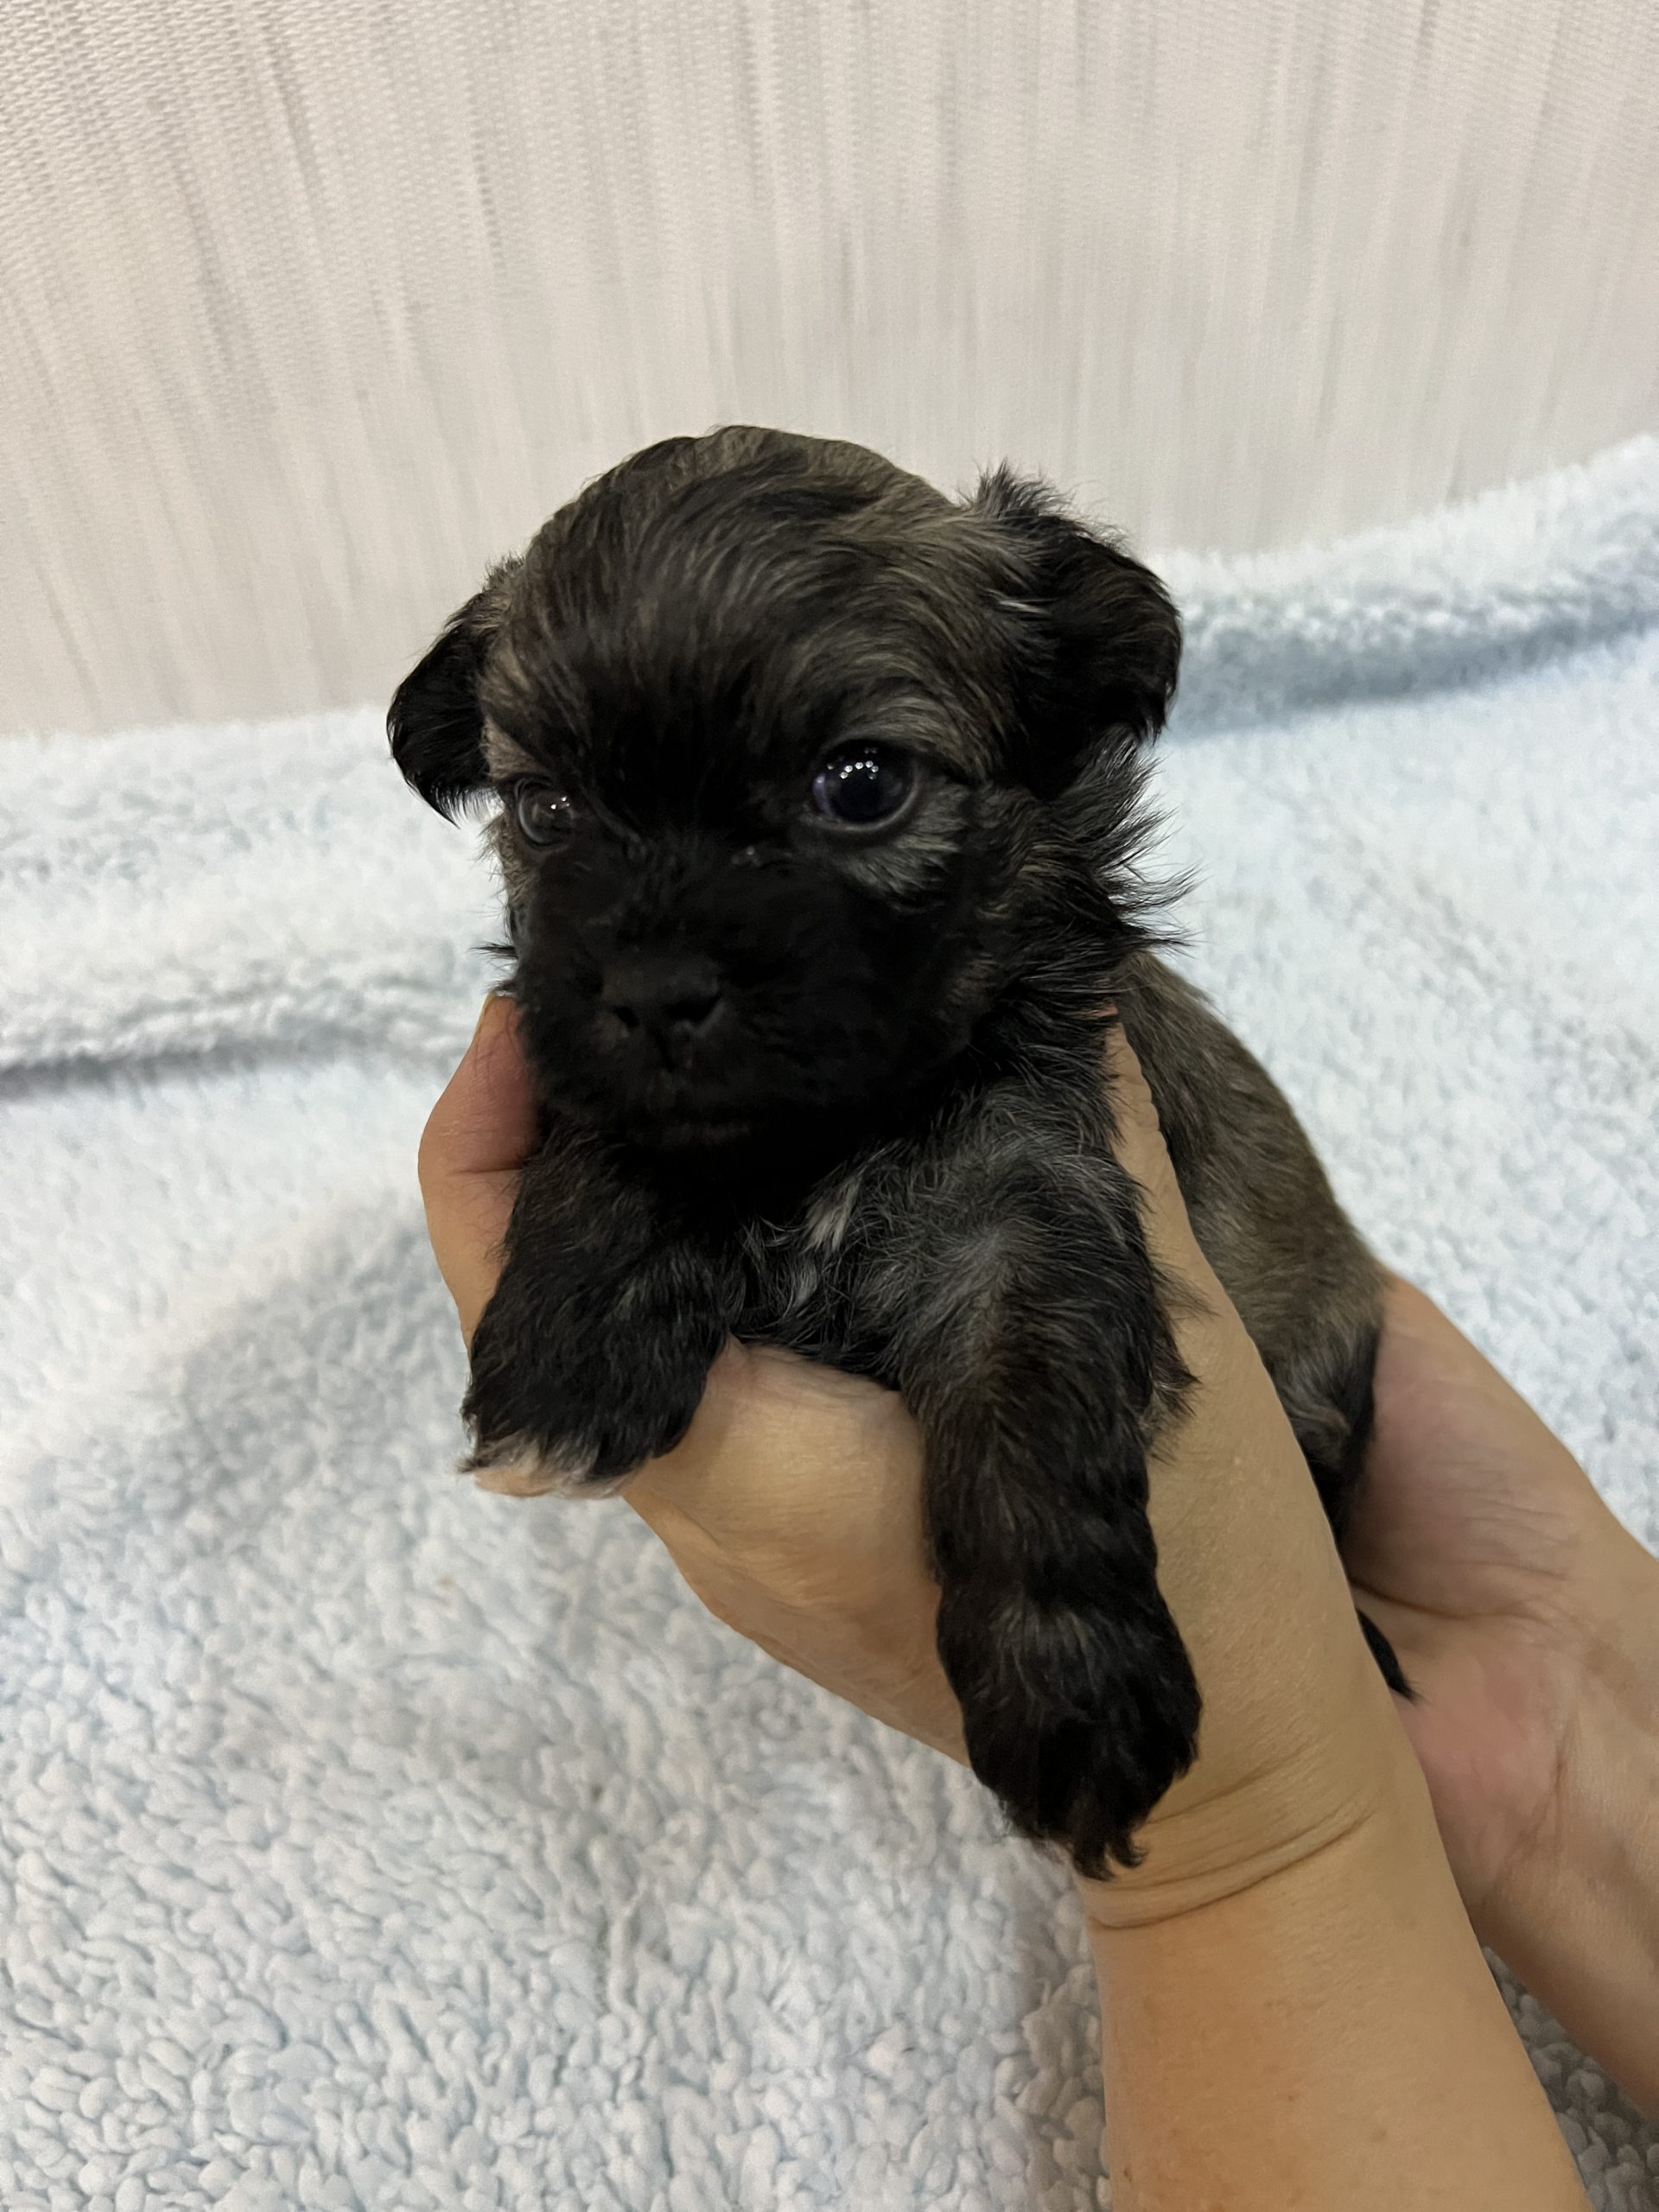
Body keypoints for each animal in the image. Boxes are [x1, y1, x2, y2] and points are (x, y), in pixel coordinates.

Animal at [390, 425, 1403, 1878]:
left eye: (860, 785)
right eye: (543, 808)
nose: (652, 988)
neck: (830, 1135)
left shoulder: (1025, 1205)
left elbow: (1037, 1427)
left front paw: (1075, 1693)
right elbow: (617, 1144)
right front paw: (573, 1348)